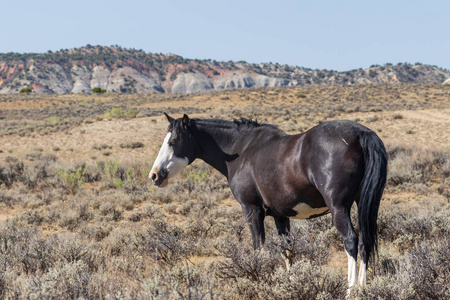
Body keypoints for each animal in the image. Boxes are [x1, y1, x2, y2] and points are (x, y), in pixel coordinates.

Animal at [149, 112, 386, 290]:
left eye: (173, 141)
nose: (155, 175)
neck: (242, 149)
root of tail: (361, 134)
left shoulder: (252, 211)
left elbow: (259, 248)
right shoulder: (281, 216)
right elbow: (287, 251)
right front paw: (291, 283)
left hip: (339, 209)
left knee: (351, 241)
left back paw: (352, 289)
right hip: (361, 205)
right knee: (364, 241)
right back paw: (364, 287)